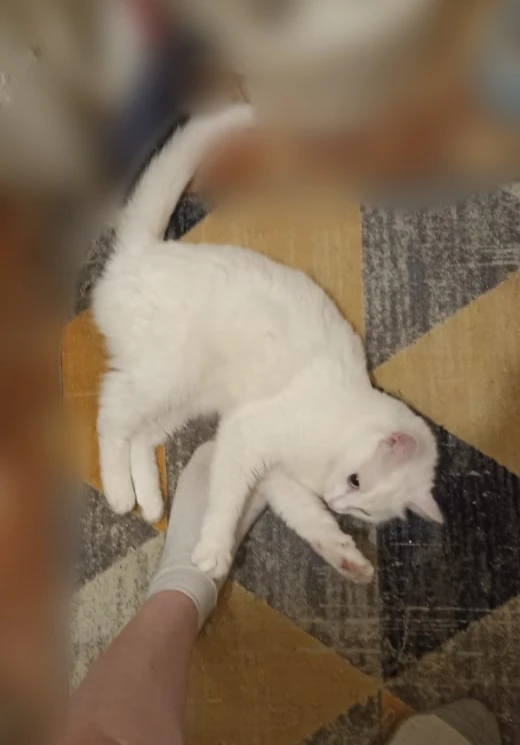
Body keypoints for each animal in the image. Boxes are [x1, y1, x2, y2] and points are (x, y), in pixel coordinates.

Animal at [93, 104, 441, 585]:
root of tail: (143, 252)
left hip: (186, 401)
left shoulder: (274, 473)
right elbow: (227, 501)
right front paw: (213, 552)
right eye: (356, 481)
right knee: (111, 415)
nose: (338, 502)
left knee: (141, 435)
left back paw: (149, 499)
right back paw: (118, 490)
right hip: (164, 376)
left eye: (366, 510)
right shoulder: (246, 434)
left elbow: (307, 516)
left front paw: (345, 557)